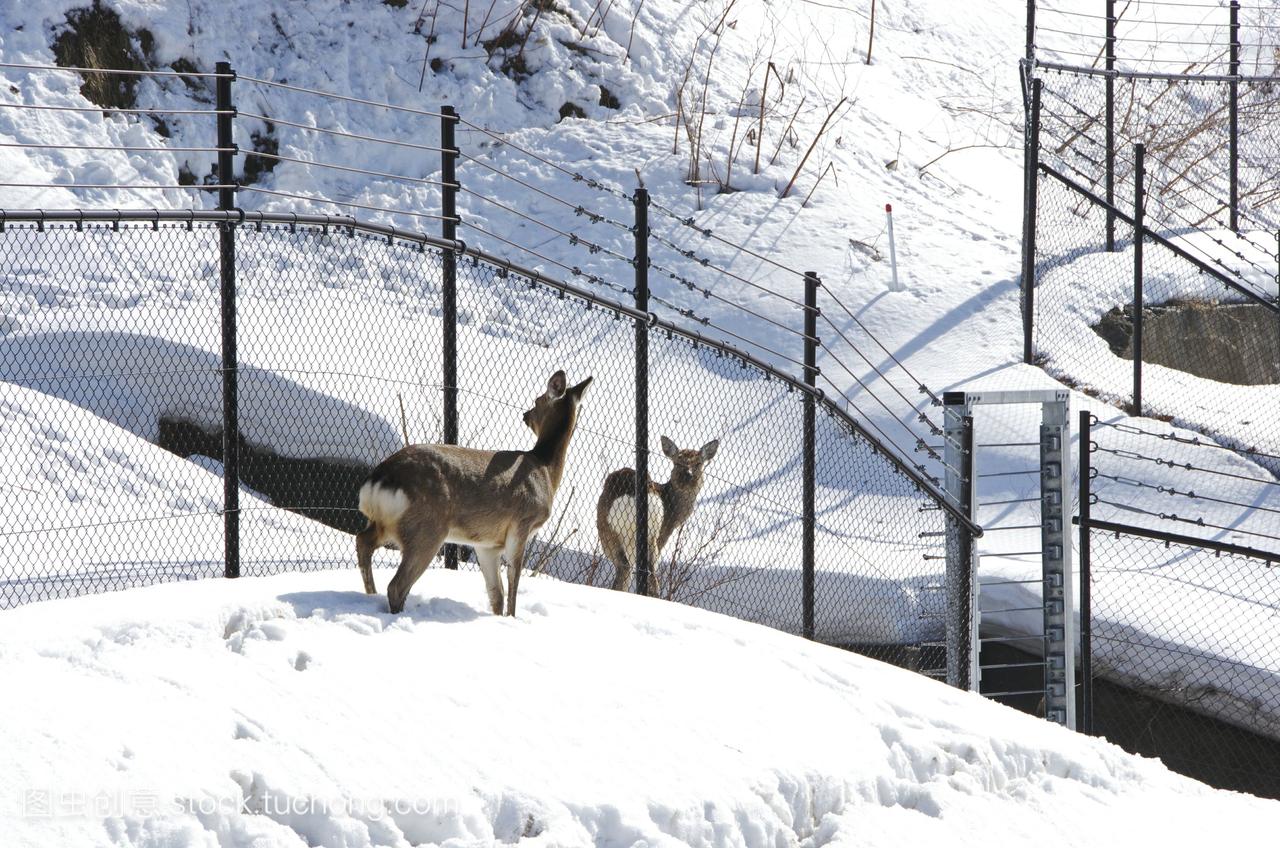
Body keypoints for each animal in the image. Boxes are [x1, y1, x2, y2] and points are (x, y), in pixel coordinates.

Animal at [358, 371, 591, 617]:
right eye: (538, 400)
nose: (525, 415)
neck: (545, 469)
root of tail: (380, 478)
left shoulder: (487, 544)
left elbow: (496, 594)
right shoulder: (522, 523)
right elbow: (513, 581)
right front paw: (512, 618)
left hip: (386, 523)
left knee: (363, 541)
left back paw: (371, 595)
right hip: (426, 526)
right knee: (396, 585)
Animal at [593, 438, 716, 596]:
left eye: (698, 463)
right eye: (677, 462)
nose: (688, 475)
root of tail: (630, 492)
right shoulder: (663, 533)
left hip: (619, 531)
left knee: (632, 568)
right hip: (625, 533)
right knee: (641, 570)